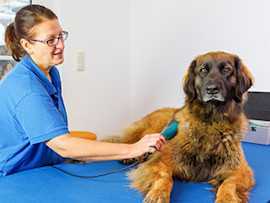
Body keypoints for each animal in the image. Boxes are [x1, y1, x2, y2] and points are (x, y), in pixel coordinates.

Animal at [114, 51, 255, 202]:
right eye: (203, 70)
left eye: (226, 69)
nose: (212, 89)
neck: (211, 121)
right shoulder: (159, 161)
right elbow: (165, 177)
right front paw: (158, 193)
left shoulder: (240, 171)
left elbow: (228, 184)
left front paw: (226, 198)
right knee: (132, 143)